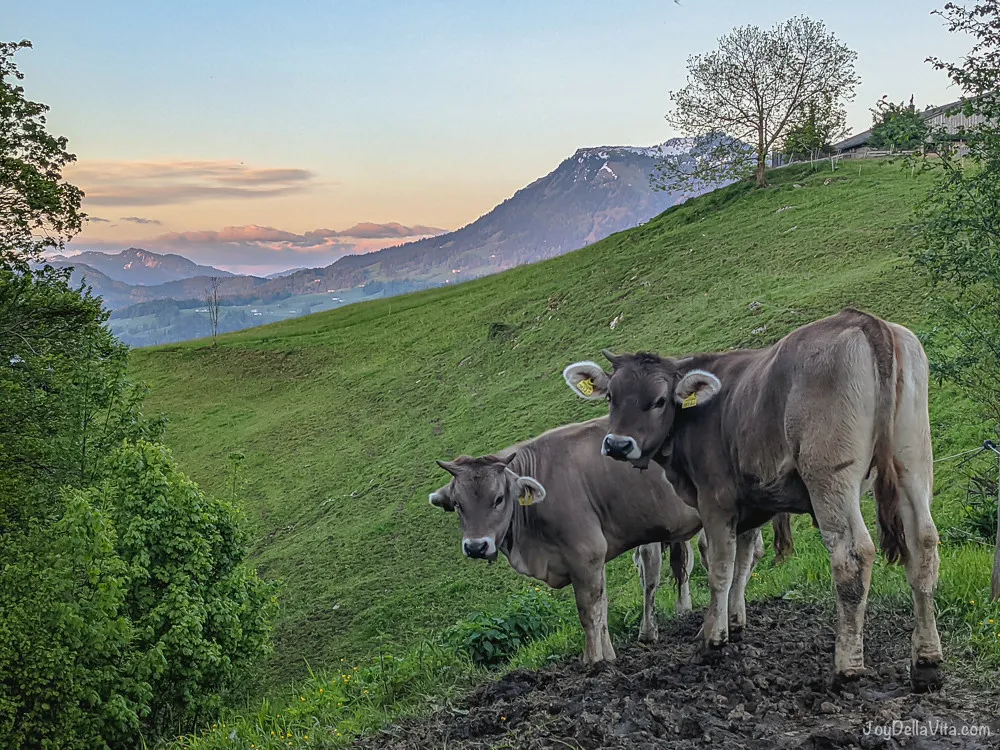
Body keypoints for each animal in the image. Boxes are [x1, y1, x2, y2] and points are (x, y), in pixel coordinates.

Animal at [429, 416, 772, 664]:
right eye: (457, 504)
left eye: (499, 498)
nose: (476, 546)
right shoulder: (594, 558)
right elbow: (603, 607)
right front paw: (608, 655)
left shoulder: (585, 554)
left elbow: (588, 610)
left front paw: (593, 661)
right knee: (742, 557)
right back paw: (734, 618)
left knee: (736, 562)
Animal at [562, 307, 943, 692]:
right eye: (611, 396)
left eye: (658, 401)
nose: (617, 444)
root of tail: (864, 321)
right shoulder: (751, 506)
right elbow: (742, 563)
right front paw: (733, 623)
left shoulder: (715, 500)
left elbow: (720, 567)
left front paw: (712, 639)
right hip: (913, 461)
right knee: (923, 544)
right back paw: (927, 661)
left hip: (830, 478)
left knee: (852, 556)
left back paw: (847, 666)